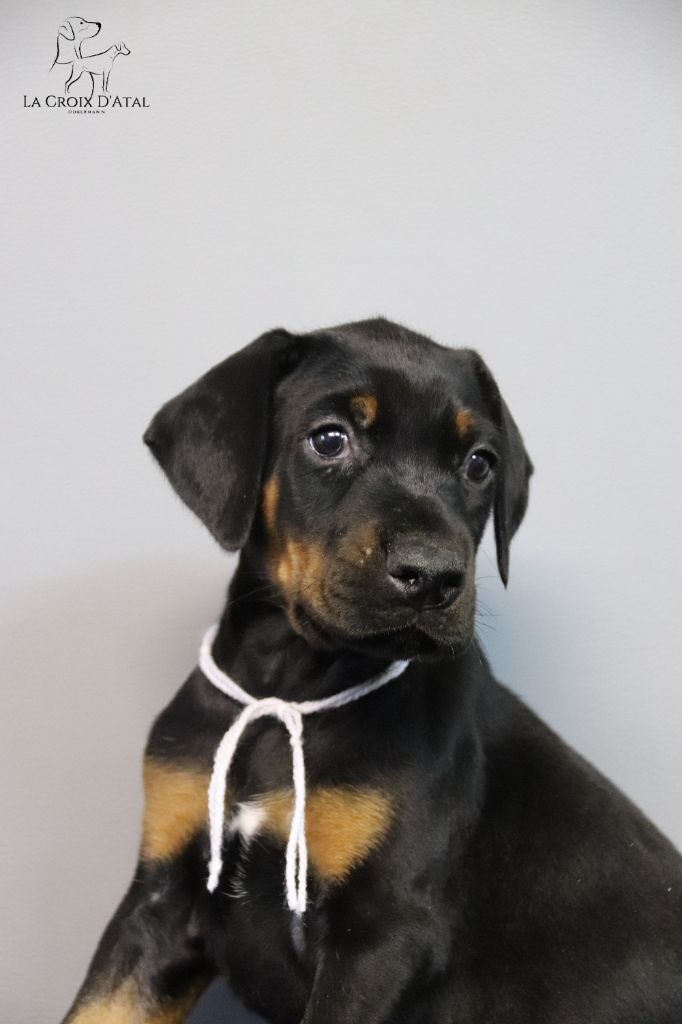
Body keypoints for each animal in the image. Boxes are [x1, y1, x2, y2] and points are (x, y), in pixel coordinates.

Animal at [61, 319, 682, 1023]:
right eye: (330, 439)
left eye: (479, 463)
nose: (433, 575)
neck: (289, 687)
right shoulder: (158, 903)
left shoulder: (382, 936)